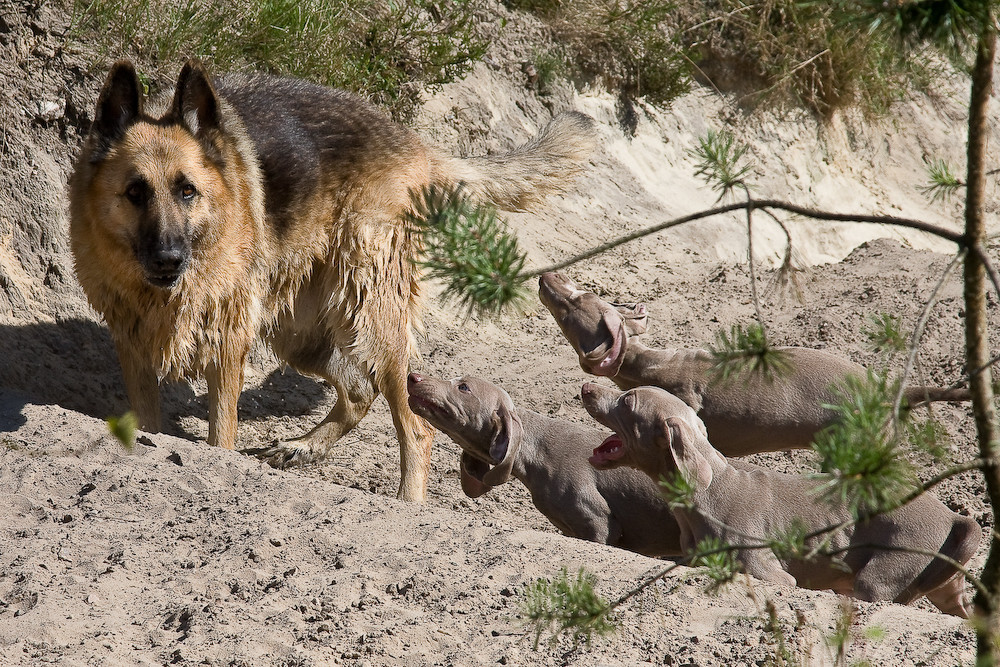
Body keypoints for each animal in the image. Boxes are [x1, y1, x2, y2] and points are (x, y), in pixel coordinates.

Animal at [72, 61, 600, 500]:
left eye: (187, 191)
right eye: (135, 192)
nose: (168, 259)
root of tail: (418, 146)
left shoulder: (228, 341)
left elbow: (221, 433)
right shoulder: (134, 345)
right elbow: (148, 421)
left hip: (373, 317)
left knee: (416, 425)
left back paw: (408, 504)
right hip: (301, 334)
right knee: (360, 391)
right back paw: (304, 446)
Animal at [584, 384, 980, 620]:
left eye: (628, 400)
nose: (587, 387)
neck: (708, 495)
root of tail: (952, 516)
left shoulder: (769, 572)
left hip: (887, 570)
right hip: (946, 584)